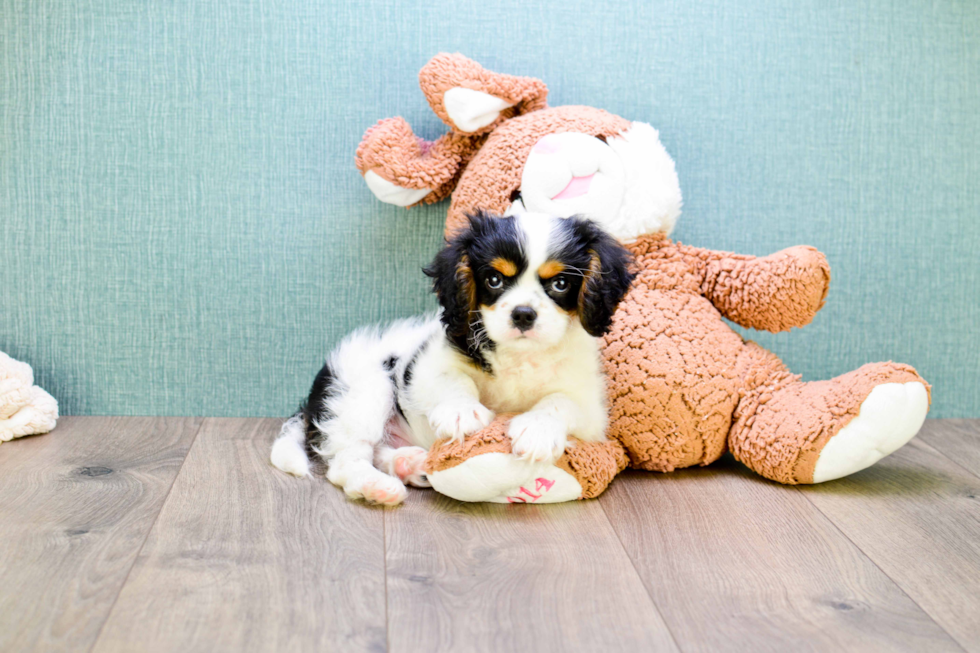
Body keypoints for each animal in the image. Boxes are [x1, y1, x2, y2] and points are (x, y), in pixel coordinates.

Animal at [268, 211, 636, 502]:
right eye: (493, 279)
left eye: (560, 284)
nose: (523, 314)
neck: (520, 355)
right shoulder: (425, 366)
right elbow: (452, 380)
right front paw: (461, 412)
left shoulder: (590, 408)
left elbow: (560, 402)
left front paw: (537, 429)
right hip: (361, 393)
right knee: (347, 461)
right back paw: (378, 486)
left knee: (375, 452)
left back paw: (408, 464)